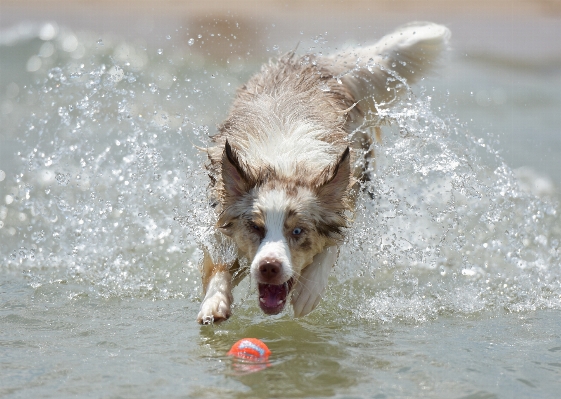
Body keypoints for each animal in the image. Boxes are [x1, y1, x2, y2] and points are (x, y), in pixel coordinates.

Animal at [195, 21, 448, 324]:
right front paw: (214, 302)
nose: (269, 266)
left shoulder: (345, 194)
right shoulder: (221, 208)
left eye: (298, 231)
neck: (284, 166)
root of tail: (316, 64)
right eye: (255, 227)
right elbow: (218, 260)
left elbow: (332, 244)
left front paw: (308, 292)